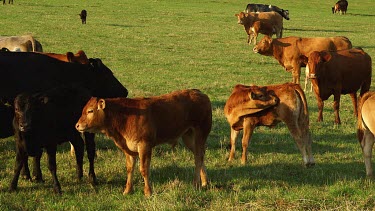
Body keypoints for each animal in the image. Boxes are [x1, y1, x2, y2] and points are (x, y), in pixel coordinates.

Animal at [75, 88, 213, 196]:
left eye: (90, 111)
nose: (77, 125)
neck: (125, 117)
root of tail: (199, 93)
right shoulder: (128, 149)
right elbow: (130, 168)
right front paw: (127, 190)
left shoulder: (144, 145)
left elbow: (144, 169)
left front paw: (148, 192)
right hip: (188, 136)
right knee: (200, 155)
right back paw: (204, 181)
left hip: (201, 132)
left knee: (198, 158)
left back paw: (196, 183)